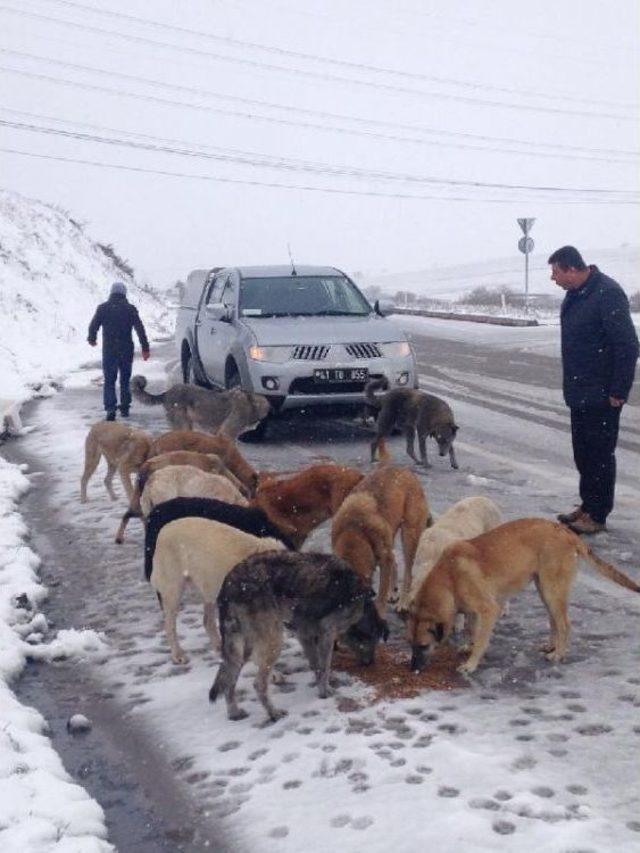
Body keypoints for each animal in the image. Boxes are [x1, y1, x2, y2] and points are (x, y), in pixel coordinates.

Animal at [210, 548, 390, 724]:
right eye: (372, 642)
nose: (370, 663)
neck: (361, 604)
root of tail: (228, 585)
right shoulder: (327, 633)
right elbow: (325, 667)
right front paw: (325, 691)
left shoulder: (305, 635)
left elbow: (317, 666)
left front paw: (321, 688)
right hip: (273, 642)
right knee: (258, 684)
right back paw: (274, 713)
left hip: (241, 648)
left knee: (228, 681)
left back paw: (234, 713)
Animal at [330, 466, 430, 612]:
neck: (354, 531)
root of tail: (405, 470)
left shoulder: (384, 560)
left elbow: (381, 598)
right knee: (395, 560)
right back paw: (393, 592)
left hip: (409, 536)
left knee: (408, 573)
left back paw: (403, 601)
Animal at [410, 516, 640, 676]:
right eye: (410, 644)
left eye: (424, 646)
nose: (413, 669)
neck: (449, 578)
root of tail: (566, 532)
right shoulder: (472, 610)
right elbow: (470, 629)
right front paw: (468, 645)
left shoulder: (489, 609)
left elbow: (482, 639)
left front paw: (471, 664)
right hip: (545, 590)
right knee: (554, 621)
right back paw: (551, 645)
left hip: (552, 589)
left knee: (564, 624)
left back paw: (558, 654)